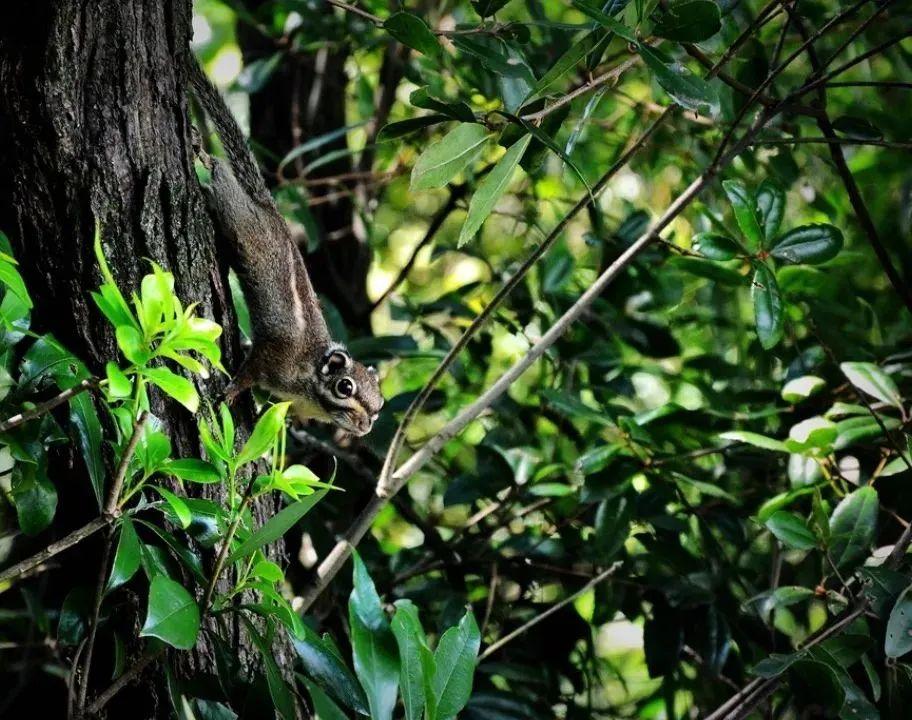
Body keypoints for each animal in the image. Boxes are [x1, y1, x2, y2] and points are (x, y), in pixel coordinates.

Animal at [189, 59, 382, 436]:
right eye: (345, 387)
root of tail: (269, 207)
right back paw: (203, 156)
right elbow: (249, 370)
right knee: (222, 182)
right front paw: (230, 393)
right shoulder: (274, 356)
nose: (366, 427)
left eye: (379, 406)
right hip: (239, 217)